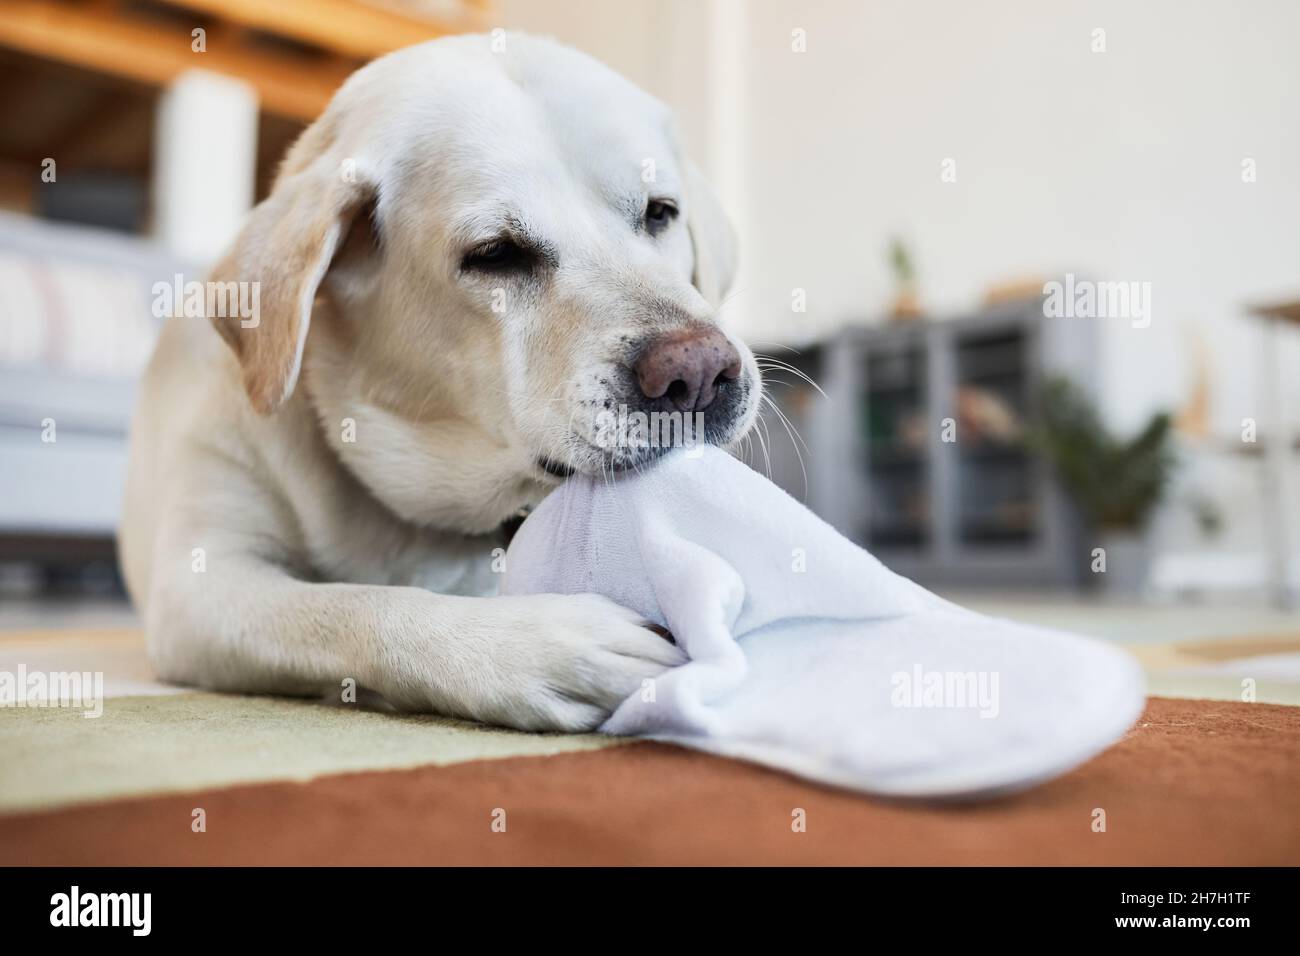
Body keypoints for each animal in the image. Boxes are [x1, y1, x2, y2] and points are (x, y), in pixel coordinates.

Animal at [122, 31, 759, 733]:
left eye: (660, 212)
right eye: (495, 254)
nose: (698, 372)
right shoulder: (197, 584)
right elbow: (358, 605)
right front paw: (537, 645)